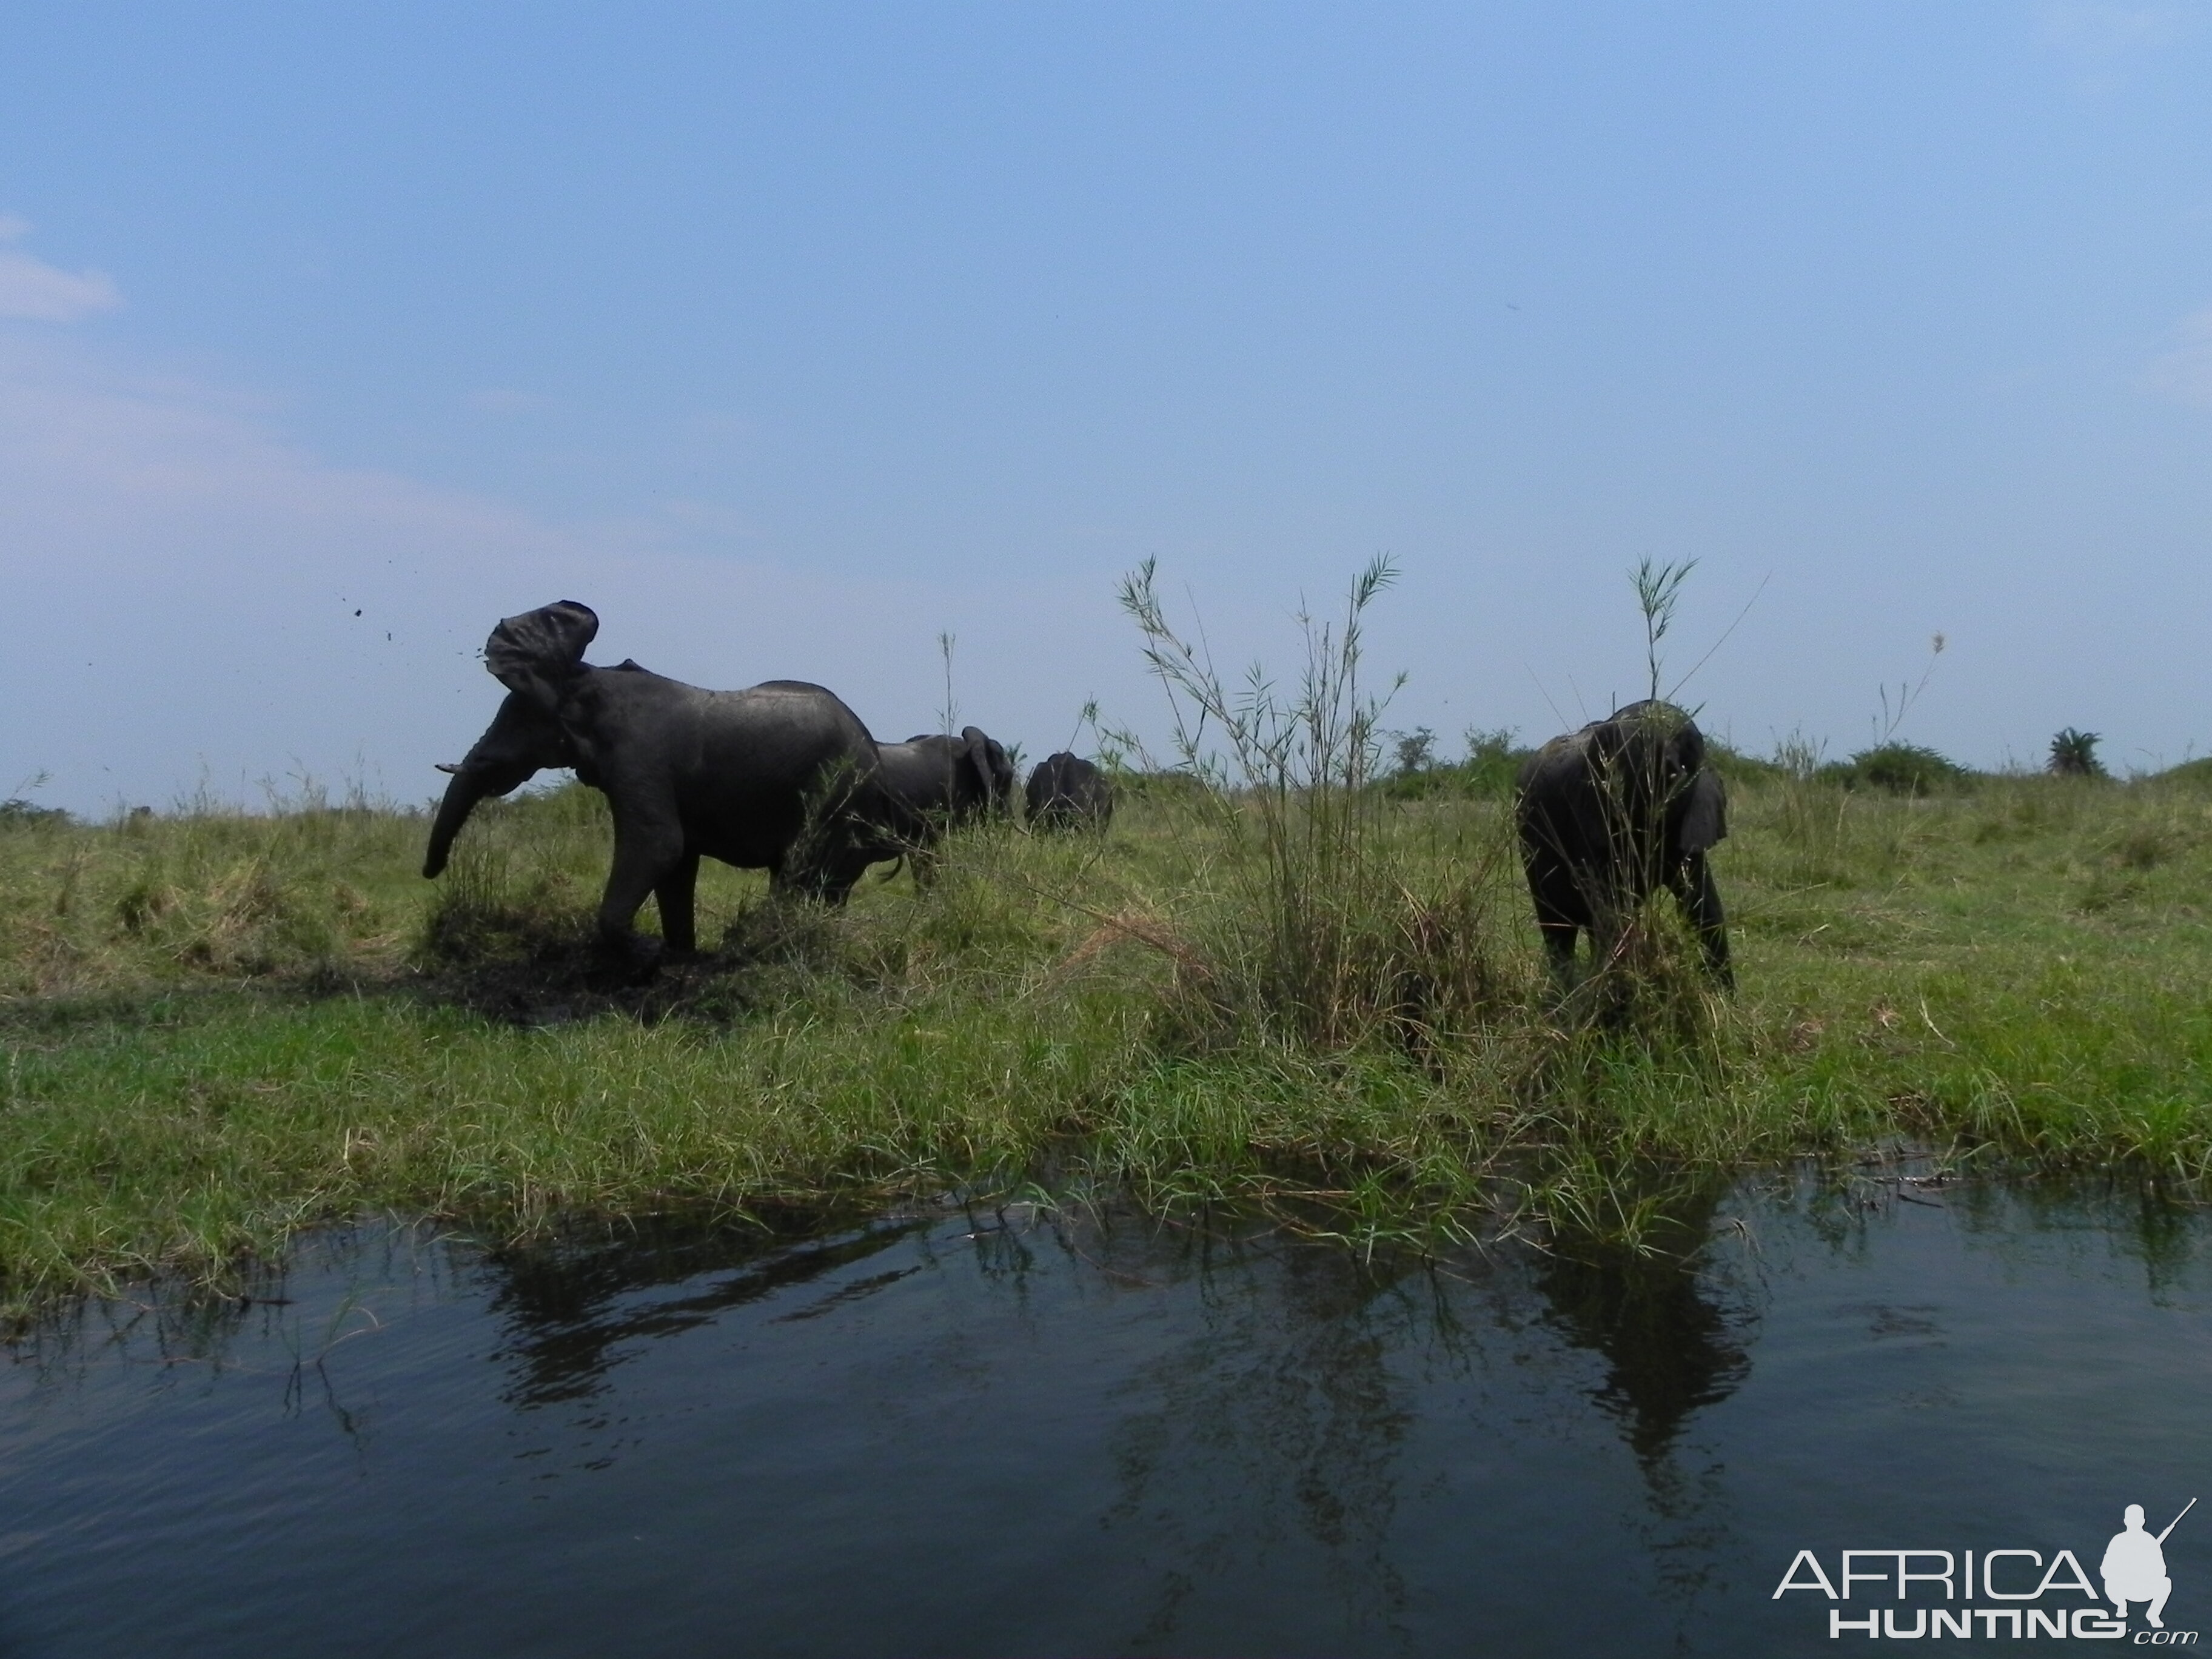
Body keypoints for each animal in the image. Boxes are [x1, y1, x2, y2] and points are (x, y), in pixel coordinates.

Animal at [422, 597, 889, 968]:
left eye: (517, 719)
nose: (429, 873)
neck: (589, 677)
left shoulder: (639, 756)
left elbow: (658, 846)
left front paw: (646, 956)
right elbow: (676, 865)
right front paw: (678, 959)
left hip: (837, 801)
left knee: (802, 874)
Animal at [1513, 699, 1734, 987]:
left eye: (1689, 760)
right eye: (1642, 753)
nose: (1674, 772)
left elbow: (1702, 905)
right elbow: (1613, 911)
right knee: (1558, 925)